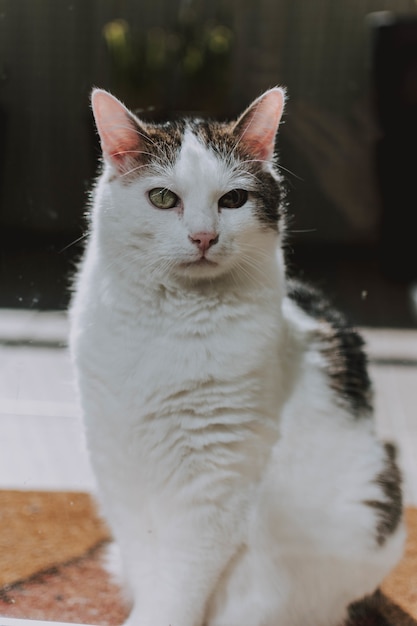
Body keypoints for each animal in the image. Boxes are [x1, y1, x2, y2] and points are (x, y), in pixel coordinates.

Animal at [70, 86, 404, 624]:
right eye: (162, 198)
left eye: (233, 199)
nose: (204, 236)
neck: (168, 324)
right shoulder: (117, 462)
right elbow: (147, 560)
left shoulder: (217, 478)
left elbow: (179, 582)